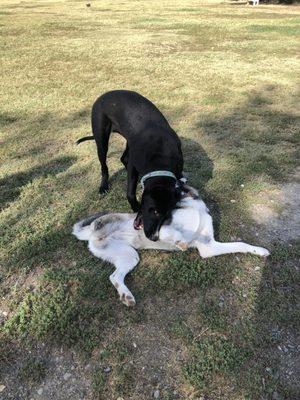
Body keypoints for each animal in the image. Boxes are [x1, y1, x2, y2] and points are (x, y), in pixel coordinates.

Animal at [77, 90, 184, 241]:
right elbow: (130, 194)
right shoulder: (134, 165)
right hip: (101, 139)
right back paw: (103, 186)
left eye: (167, 214)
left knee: (123, 158)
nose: (154, 237)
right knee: (104, 166)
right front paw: (135, 207)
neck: (162, 158)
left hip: (128, 141)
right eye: (154, 211)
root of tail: (105, 94)